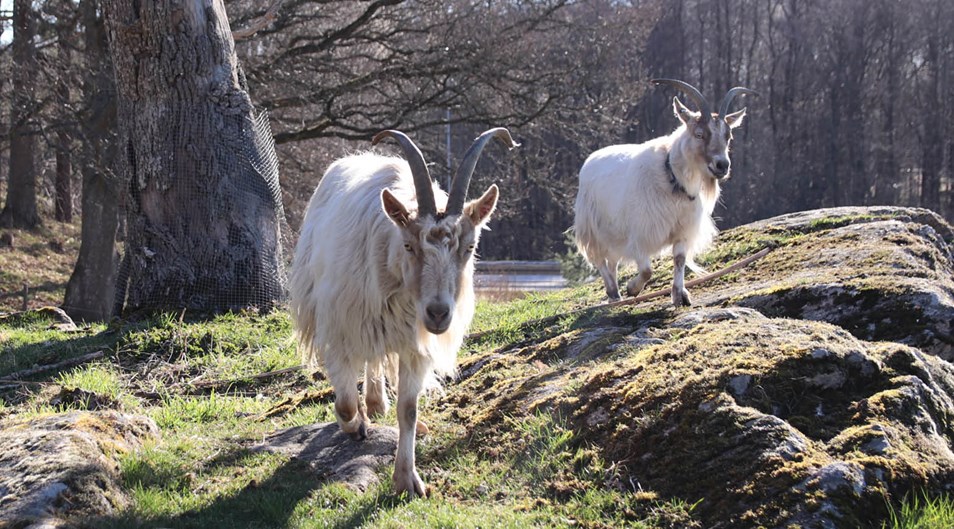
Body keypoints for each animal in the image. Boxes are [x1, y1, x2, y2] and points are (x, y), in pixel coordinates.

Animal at [288, 127, 516, 496]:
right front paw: (355, 425)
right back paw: (368, 409)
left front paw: (408, 479)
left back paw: (378, 402)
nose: (438, 314)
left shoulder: (414, 343)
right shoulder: (339, 327)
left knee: (376, 359)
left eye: (470, 247)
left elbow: (408, 409)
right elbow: (344, 403)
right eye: (409, 245)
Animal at [572, 78, 752, 306]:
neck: (671, 177)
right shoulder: (640, 235)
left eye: (728, 136)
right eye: (699, 134)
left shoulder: (683, 230)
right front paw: (632, 288)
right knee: (599, 259)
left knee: (612, 260)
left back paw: (615, 295)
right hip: (591, 228)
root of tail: (590, 160)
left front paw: (680, 295)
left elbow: (679, 259)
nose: (722, 165)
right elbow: (647, 270)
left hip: (613, 234)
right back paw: (613, 290)